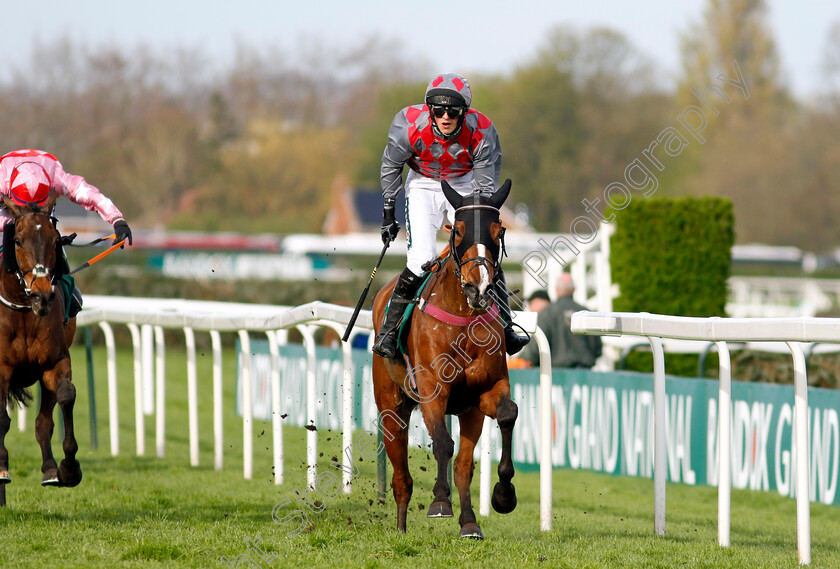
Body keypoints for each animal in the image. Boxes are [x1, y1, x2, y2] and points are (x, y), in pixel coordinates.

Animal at [0, 191, 82, 488]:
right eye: (17, 240)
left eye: (56, 240)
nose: (42, 296)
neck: (24, 309)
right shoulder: (2, 368)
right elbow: (2, 419)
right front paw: (2, 467)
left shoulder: (54, 362)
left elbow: (65, 397)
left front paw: (67, 469)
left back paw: (49, 467)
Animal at [372, 178, 520, 536]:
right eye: (459, 230)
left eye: (497, 230)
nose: (479, 288)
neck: (463, 318)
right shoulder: (431, 387)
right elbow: (441, 442)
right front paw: (440, 501)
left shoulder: (485, 390)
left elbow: (507, 413)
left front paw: (503, 495)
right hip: (391, 406)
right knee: (402, 475)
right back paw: (401, 527)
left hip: (467, 411)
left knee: (463, 464)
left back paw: (469, 522)